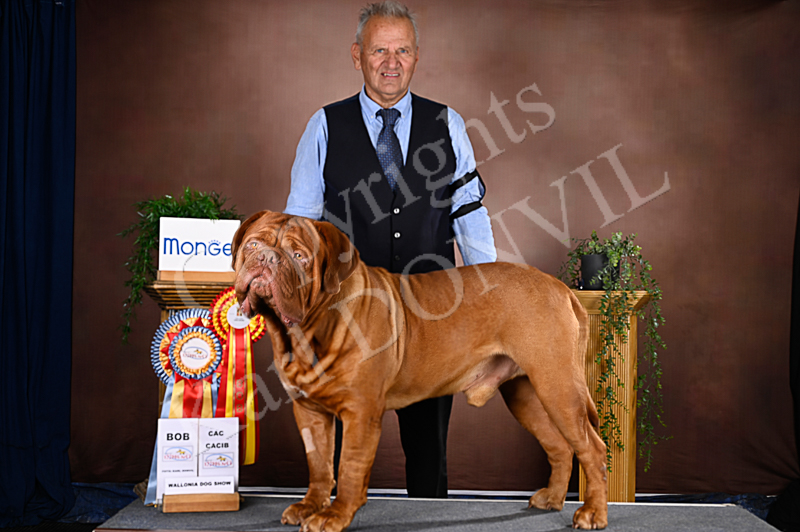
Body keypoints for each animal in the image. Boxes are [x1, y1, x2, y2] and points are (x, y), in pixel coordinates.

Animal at [232, 210, 608, 531]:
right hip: (526, 394)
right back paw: (553, 498)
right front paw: (310, 506)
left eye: (299, 256)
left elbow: (349, 465)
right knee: (560, 446)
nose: (266, 259)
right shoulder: (309, 411)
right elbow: (320, 464)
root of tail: (561, 288)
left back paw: (593, 513)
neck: (309, 331)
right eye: (252, 245)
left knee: (592, 448)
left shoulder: (360, 413)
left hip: (557, 386)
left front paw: (335, 516)